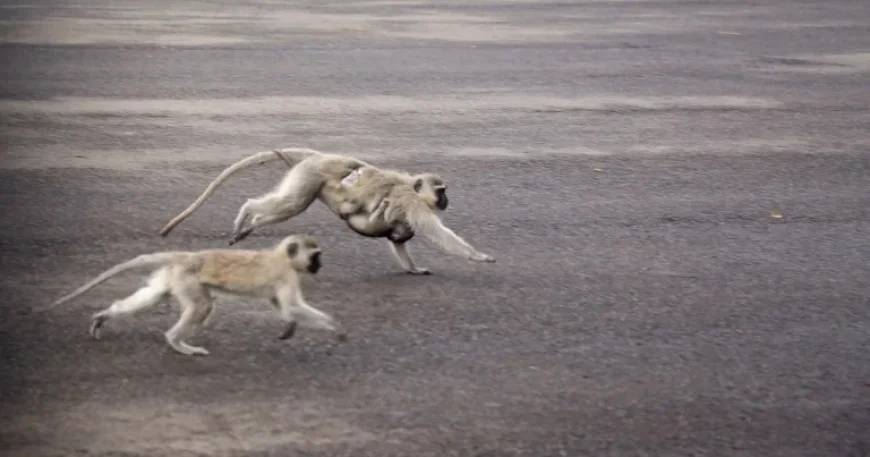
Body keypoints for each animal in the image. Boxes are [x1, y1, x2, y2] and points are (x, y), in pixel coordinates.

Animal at [39, 235, 346, 356]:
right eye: (315, 256)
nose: (319, 266)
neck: (282, 256)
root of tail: (187, 256)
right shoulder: (287, 274)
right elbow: (291, 306)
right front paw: (335, 328)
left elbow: (284, 307)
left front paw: (289, 327)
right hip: (187, 280)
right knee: (202, 306)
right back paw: (177, 343)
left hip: (173, 276)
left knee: (154, 296)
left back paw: (104, 316)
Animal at [158, 147, 495, 275]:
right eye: (441, 191)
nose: (446, 201)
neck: (410, 187)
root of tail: (322, 157)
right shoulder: (411, 203)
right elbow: (438, 232)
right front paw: (479, 256)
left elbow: (397, 239)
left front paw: (413, 268)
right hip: (310, 177)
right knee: (289, 204)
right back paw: (247, 212)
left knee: (289, 206)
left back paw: (249, 224)